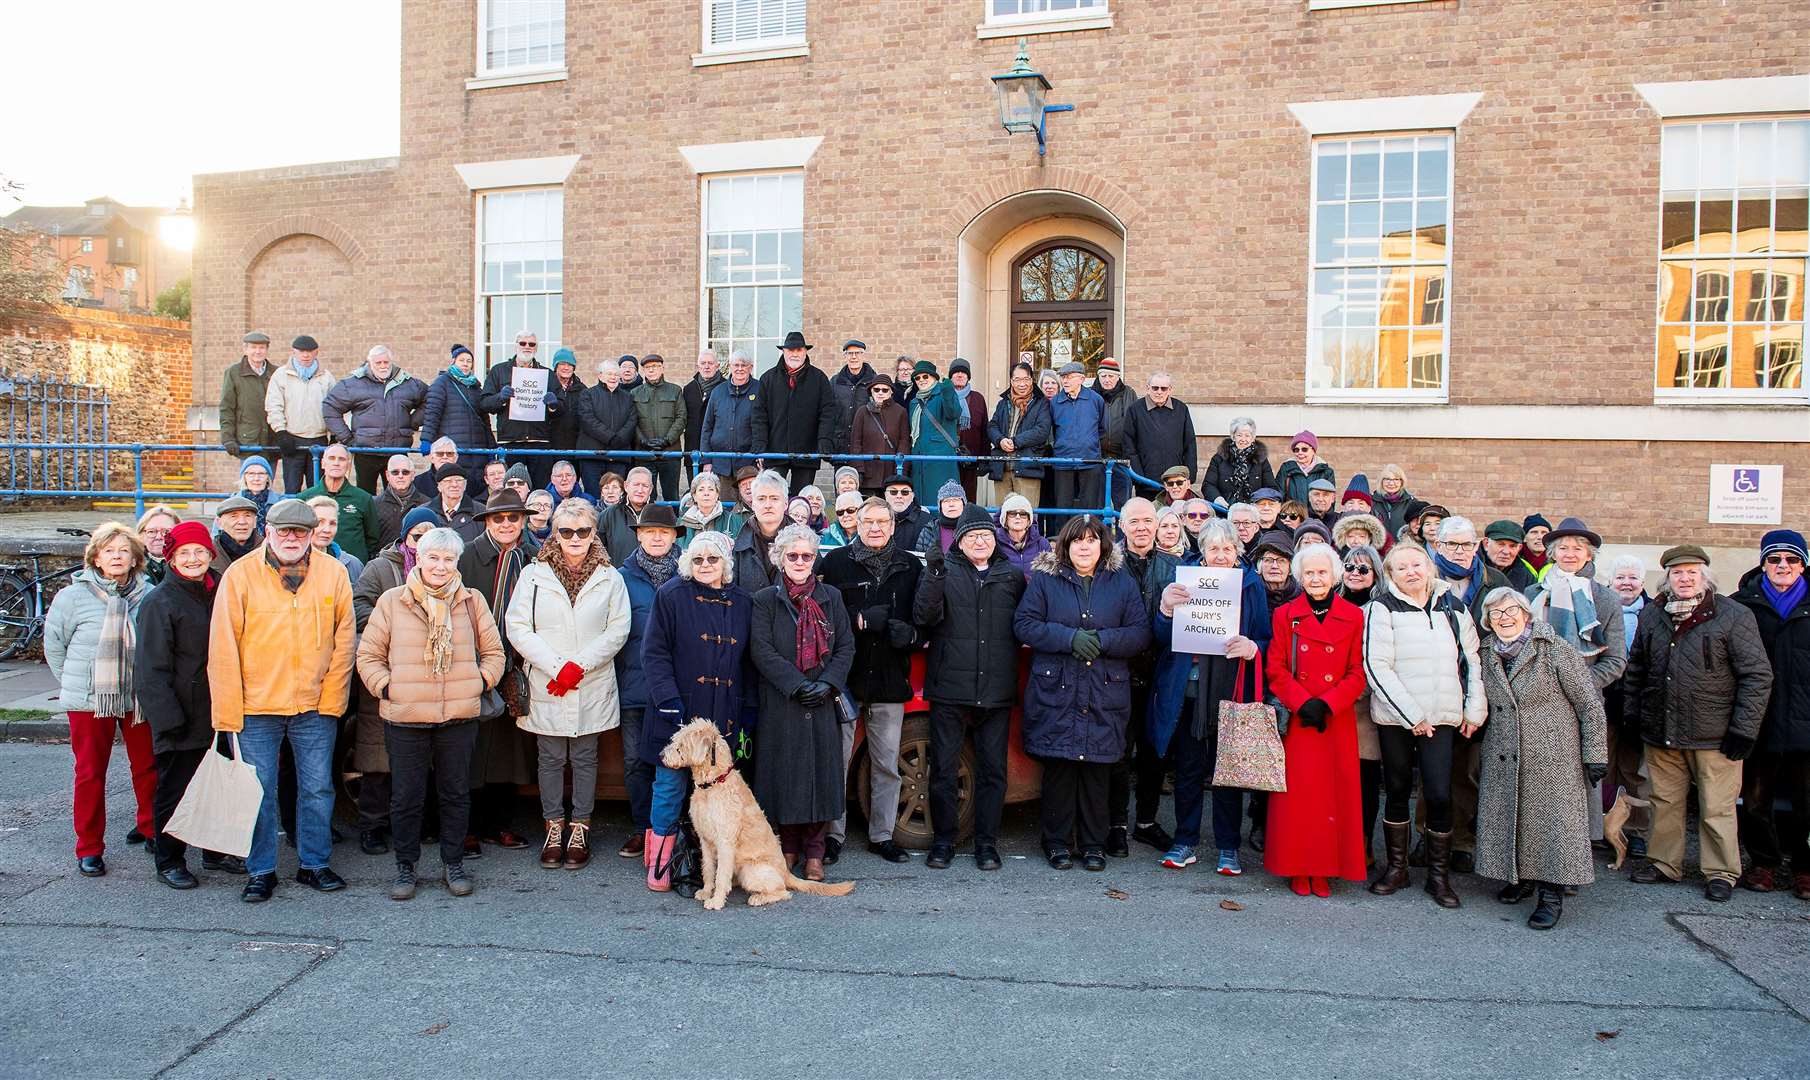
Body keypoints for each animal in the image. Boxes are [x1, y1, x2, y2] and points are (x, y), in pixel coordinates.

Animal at [662, 716, 857, 908]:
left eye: (681, 745)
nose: (661, 756)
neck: (714, 783)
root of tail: (786, 872)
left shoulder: (725, 842)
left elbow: (721, 875)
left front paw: (716, 901)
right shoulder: (705, 840)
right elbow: (708, 869)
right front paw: (706, 891)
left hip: (751, 870)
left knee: (784, 892)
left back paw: (758, 898)